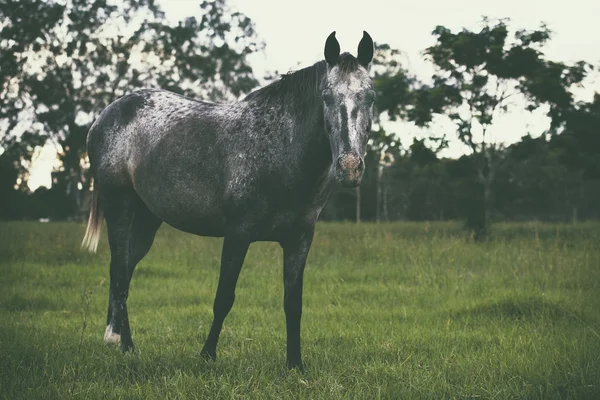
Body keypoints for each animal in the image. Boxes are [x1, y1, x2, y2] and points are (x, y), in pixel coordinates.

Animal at [83, 29, 376, 370]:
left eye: (371, 97)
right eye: (326, 97)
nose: (349, 167)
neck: (280, 149)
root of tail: (105, 116)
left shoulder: (300, 239)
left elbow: (293, 303)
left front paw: (295, 364)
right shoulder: (238, 234)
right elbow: (224, 297)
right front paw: (207, 354)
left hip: (146, 220)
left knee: (126, 270)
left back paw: (122, 342)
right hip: (119, 208)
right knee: (119, 273)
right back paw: (123, 342)